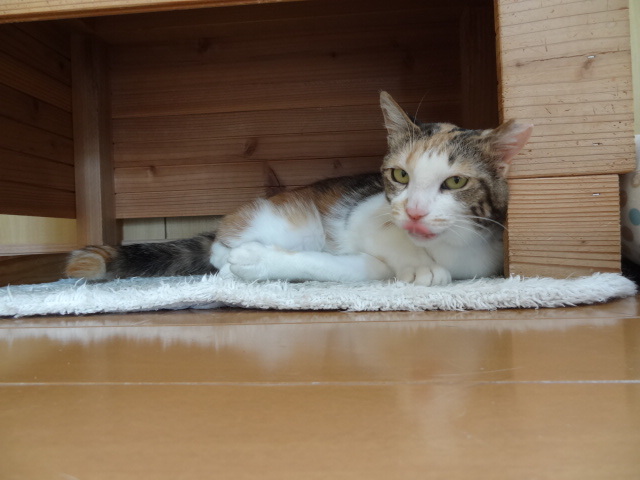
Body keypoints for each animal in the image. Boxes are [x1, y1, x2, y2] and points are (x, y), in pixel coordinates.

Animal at [65, 91, 532, 286]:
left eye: (455, 181)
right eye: (400, 176)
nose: (415, 211)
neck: (443, 248)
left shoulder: (484, 256)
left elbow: (368, 268)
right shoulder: (367, 211)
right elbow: (385, 246)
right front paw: (415, 264)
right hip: (295, 221)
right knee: (219, 250)